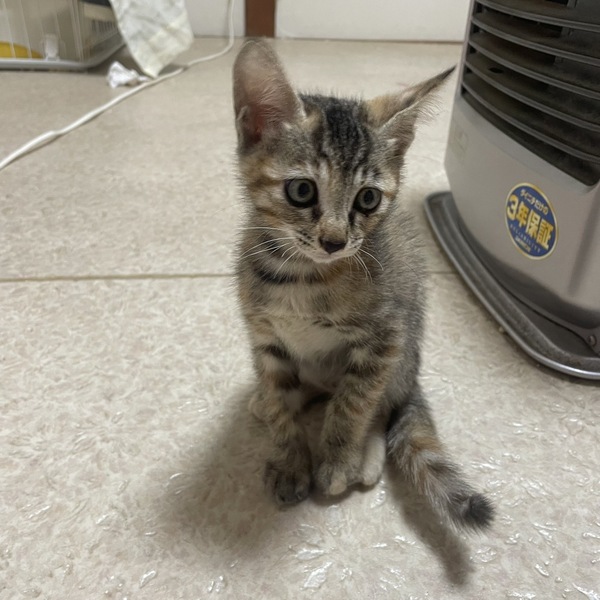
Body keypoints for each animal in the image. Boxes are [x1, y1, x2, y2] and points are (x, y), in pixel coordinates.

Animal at [233, 40, 493, 531]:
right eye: (301, 191)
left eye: (368, 198)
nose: (335, 241)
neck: (303, 274)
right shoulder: (264, 337)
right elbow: (281, 399)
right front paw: (289, 457)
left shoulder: (384, 337)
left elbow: (353, 405)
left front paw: (335, 461)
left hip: (405, 350)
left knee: (380, 403)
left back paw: (365, 457)